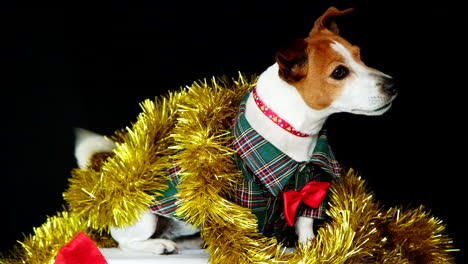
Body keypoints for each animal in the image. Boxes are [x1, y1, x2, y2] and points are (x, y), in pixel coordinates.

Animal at [73, 7, 394, 255]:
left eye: (361, 56)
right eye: (339, 73)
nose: (392, 84)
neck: (296, 132)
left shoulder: (312, 186)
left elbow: (305, 222)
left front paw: (311, 248)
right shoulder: (242, 198)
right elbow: (242, 230)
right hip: (143, 218)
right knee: (124, 242)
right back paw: (158, 245)